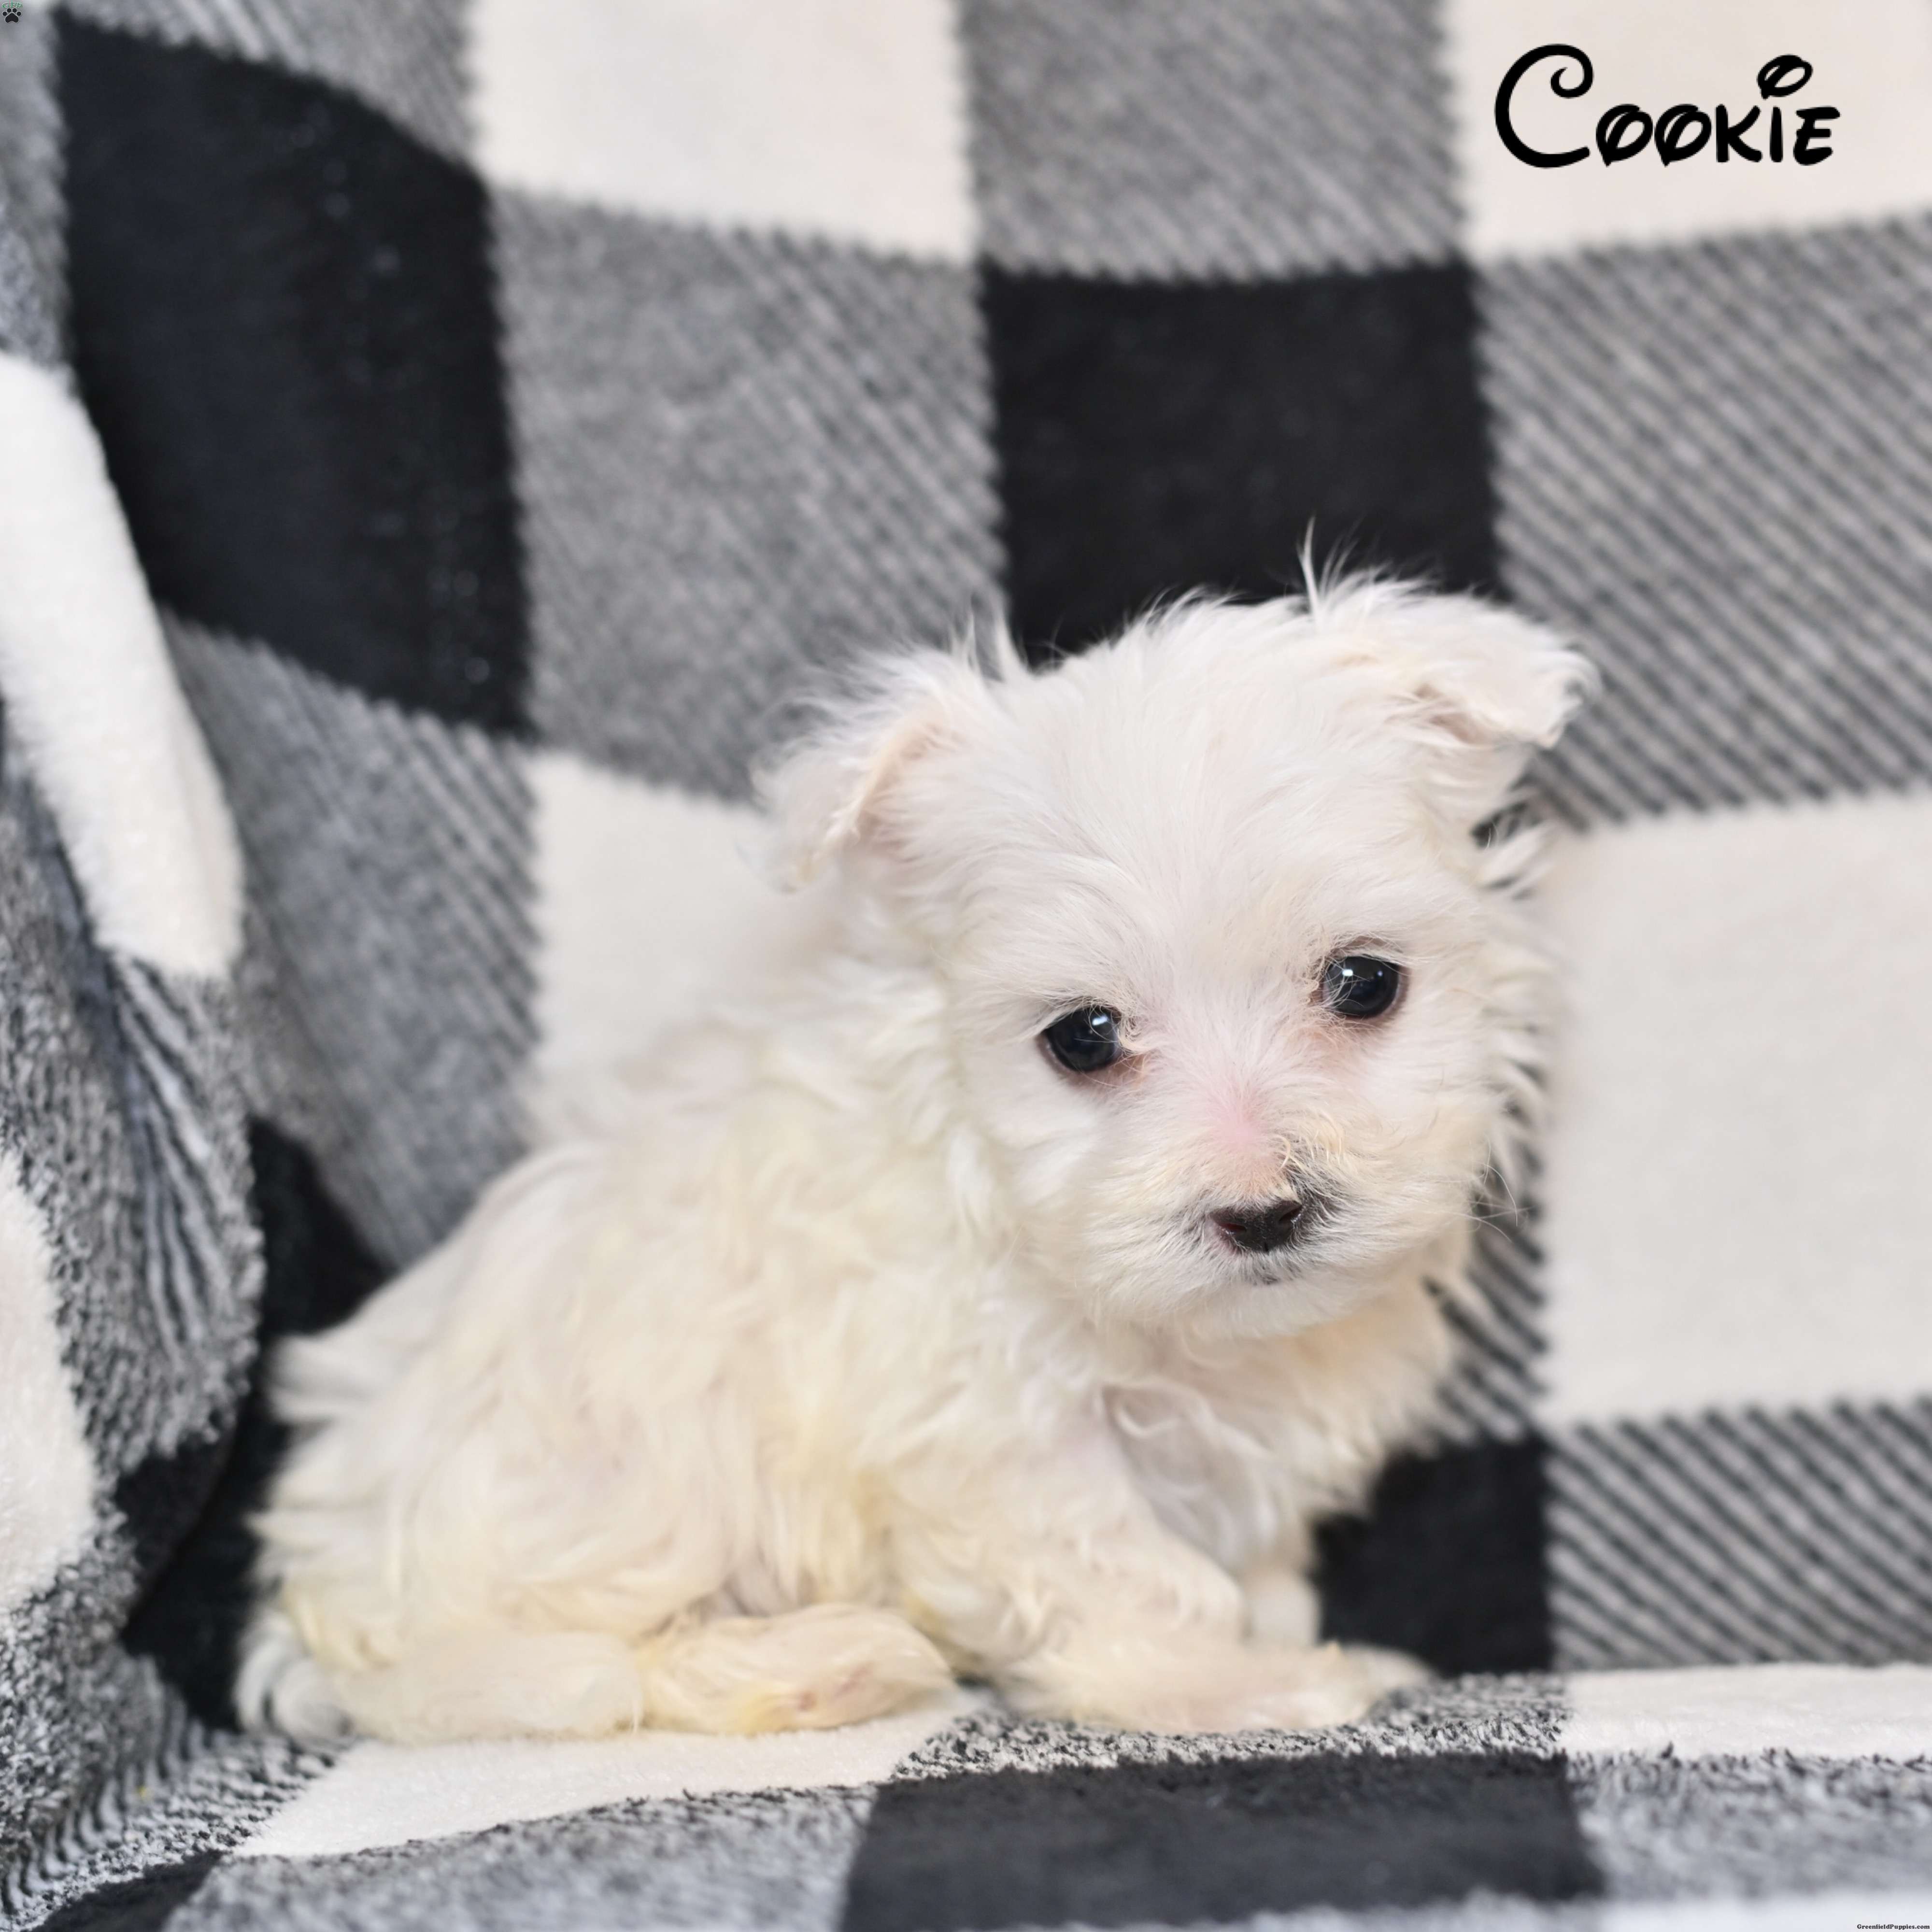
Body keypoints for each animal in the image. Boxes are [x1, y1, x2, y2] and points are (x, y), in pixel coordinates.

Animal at [240, 578, 1592, 1745]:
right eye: (1081, 1037)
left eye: (1363, 983)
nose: (1261, 1210)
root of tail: (327, 1602)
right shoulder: (992, 1432)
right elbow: (1126, 1575)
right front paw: (1235, 1686)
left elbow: (1254, 1566)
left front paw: (1285, 1640)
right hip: (614, 1492)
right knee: (581, 1667)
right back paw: (817, 1664)